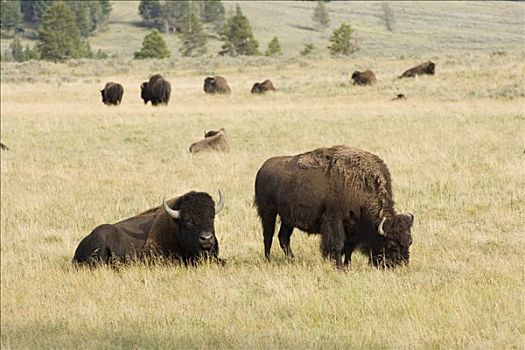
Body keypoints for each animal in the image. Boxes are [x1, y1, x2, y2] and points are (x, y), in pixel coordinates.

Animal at [254, 145, 414, 270]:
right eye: (391, 244)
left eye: (409, 242)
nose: (399, 265)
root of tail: (263, 168)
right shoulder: (335, 221)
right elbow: (338, 244)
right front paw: (339, 267)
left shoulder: (353, 228)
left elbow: (349, 248)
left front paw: (347, 266)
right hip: (268, 212)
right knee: (268, 236)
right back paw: (269, 260)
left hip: (288, 218)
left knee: (283, 238)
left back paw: (292, 260)